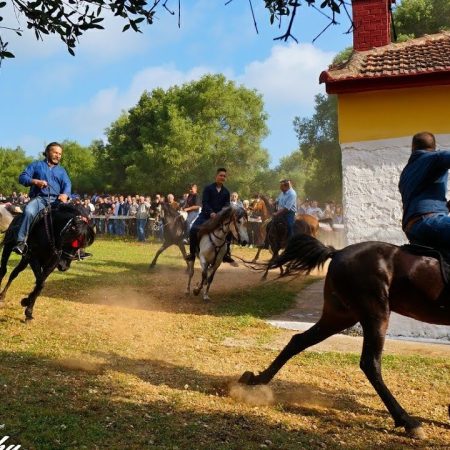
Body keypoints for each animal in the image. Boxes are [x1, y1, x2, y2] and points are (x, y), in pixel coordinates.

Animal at [241, 232, 450, 440]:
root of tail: (338, 252)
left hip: (340, 316)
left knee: (298, 341)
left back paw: (257, 380)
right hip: (375, 313)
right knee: (370, 363)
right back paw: (408, 422)